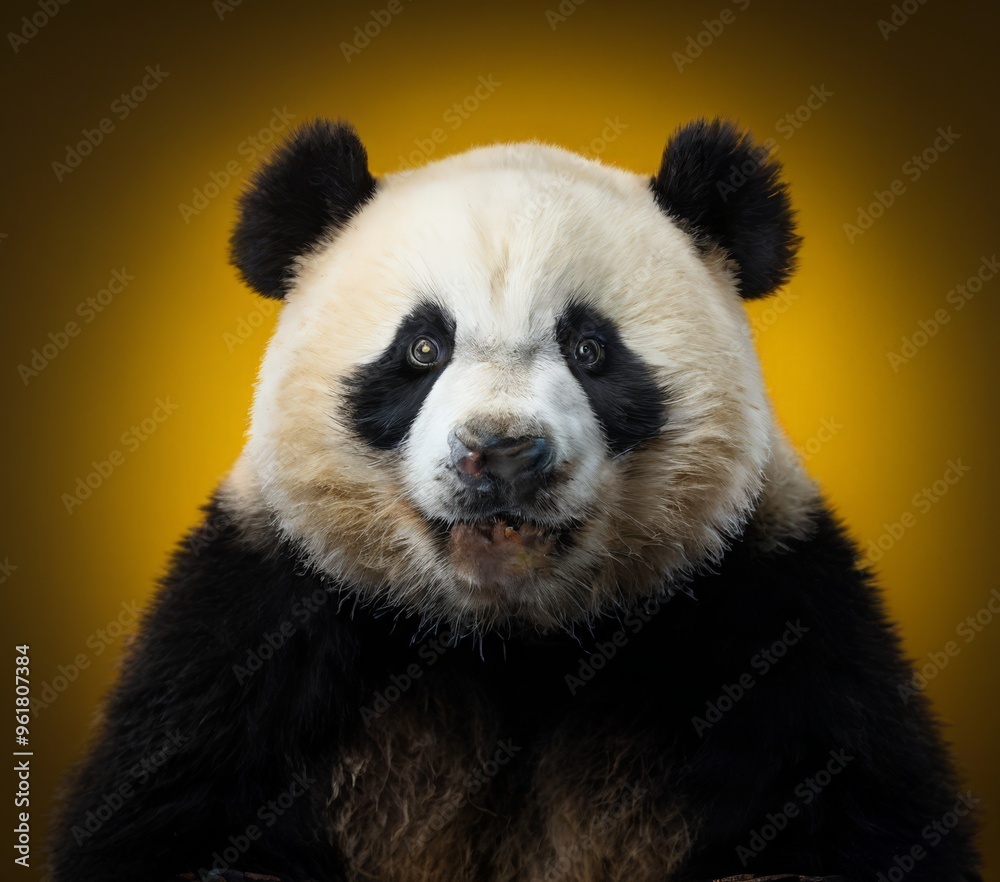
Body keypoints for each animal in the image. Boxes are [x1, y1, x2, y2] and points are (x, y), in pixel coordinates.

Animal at [50, 118, 981, 882]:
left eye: (591, 349)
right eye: (423, 348)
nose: (500, 455)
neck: (512, 641)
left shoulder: (771, 613)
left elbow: (865, 810)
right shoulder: (257, 630)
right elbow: (164, 817)